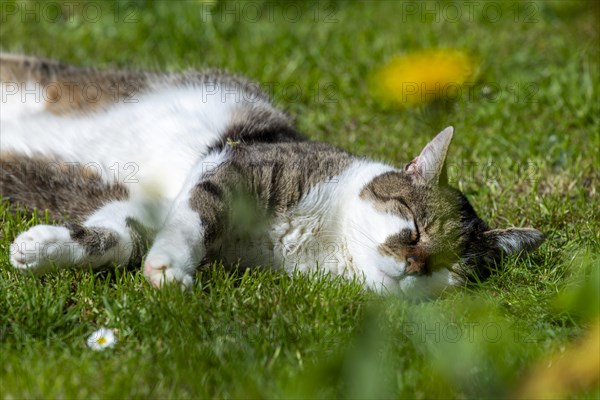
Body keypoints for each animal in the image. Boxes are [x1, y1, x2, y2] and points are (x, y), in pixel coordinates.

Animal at [0, 54, 544, 296]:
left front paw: (39, 248)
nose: (414, 265)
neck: (321, 240)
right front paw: (171, 269)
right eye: (412, 226)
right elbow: (195, 218)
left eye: (450, 268)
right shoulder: (238, 166)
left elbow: (121, 234)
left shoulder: (149, 206)